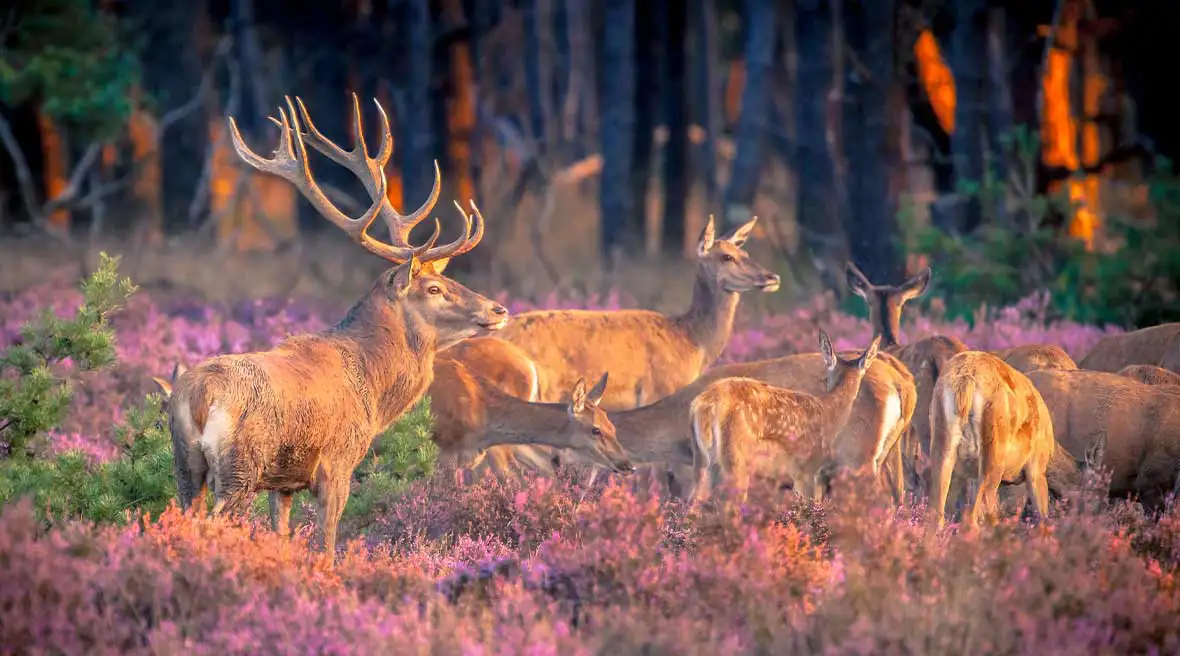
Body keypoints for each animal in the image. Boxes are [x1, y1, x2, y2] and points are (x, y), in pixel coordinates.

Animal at [162, 95, 509, 555]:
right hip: (240, 466)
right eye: (433, 288)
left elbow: (282, 534)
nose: (498, 310)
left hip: (184, 462)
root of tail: (199, 395)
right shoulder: (338, 460)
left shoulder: (283, 482)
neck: (374, 387)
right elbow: (326, 544)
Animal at [927, 351, 1079, 529]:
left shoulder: (966, 475)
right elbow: (1041, 516)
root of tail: (967, 379)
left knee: (938, 514)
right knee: (976, 515)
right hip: (993, 457)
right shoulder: (1036, 467)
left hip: (943, 448)